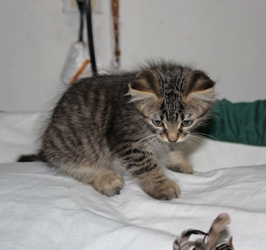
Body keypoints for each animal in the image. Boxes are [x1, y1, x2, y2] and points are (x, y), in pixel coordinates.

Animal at [18, 61, 214, 200]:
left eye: (187, 122)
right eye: (157, 122)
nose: (173, 137)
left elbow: (169, 149)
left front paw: (177, 159)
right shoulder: (125, 139)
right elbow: (145, 164)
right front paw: (160, 185)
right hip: (68, 146)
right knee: (74, 166)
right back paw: (106, 178)